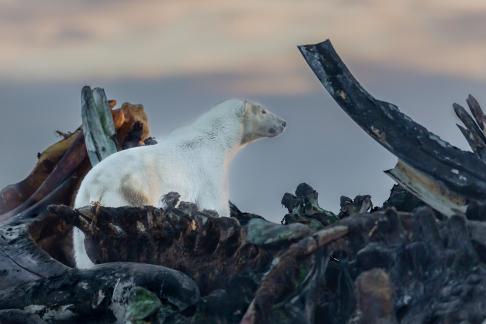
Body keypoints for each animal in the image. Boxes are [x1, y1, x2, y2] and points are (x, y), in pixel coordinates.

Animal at [72, 99, 284, 268]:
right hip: (126, 192)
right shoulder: (210, 169)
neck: (216, 137)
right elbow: (215, 203)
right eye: (263, 110)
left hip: (80, 203)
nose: (283, 122)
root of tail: (95, 186)